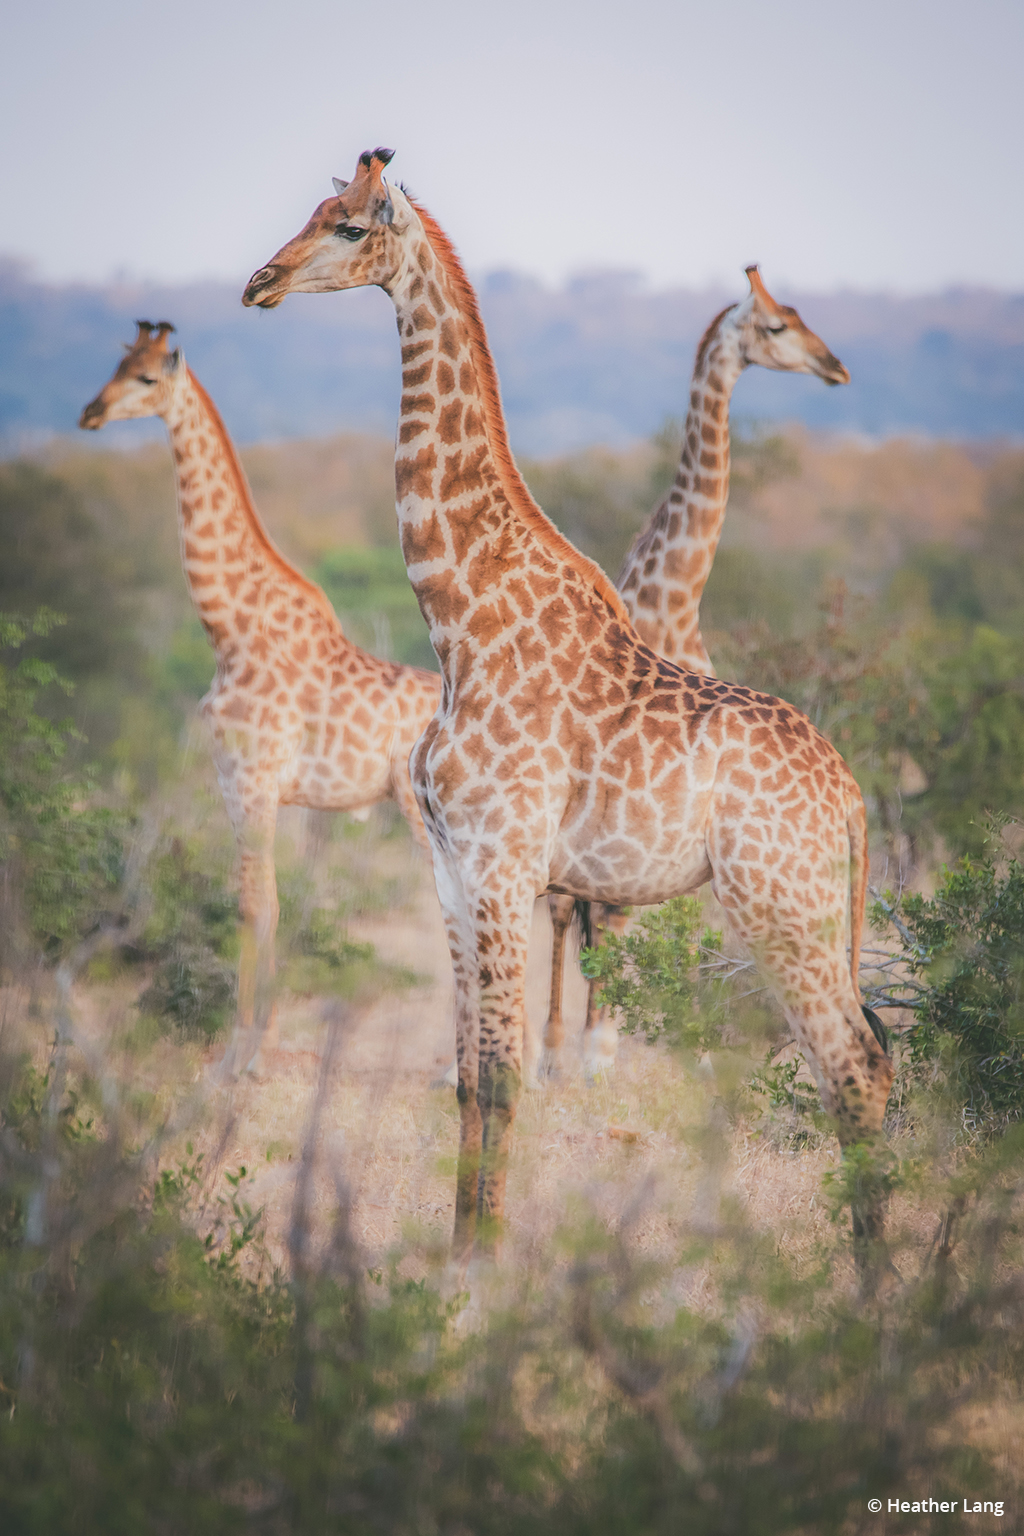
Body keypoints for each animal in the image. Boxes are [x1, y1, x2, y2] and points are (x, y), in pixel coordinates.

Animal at [75, 322, 436, 1069]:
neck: (228, 628)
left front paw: (245, 1052)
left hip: (424, 813)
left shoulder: (255, 779)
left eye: (146, 378)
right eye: (116, 365)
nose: (89, 413)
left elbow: (256, 904)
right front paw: (252, 1041)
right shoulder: (230, 780)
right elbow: (264, 900)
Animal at [543, 267, 847, 1081]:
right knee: (563, 911)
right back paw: (553, 1046)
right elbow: (606, 915)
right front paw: (594, 1049)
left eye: (799, 313)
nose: (835, 367)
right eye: (775, 327)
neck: (676, 598)